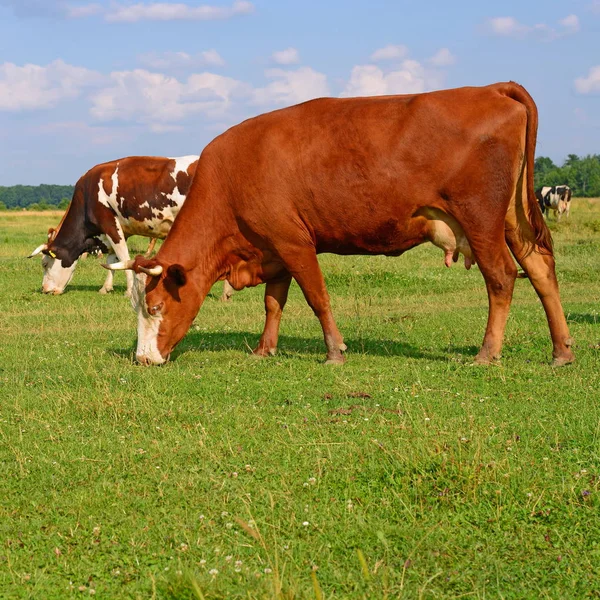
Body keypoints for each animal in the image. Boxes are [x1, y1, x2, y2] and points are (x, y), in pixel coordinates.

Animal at [28, 155, 234, 300]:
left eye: (44, 264)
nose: (45, 290)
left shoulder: (110, 224)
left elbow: (124, 258)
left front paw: (128, 291)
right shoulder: (120, 230)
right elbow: (112, 260)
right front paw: (106, 288)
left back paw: (226, 292)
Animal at [110, 82, 576, 368]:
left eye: (155, 307)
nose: (143, 358)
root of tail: (492, 88)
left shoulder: (293, 242)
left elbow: (316, 297)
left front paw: (334, 351)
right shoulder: (274, 247)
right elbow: (274, 302)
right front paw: (264, 349)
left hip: (480, 220)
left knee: (501, 277)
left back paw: (487, 352)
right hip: (514, 220)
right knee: (541, 271)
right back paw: (561, 351)